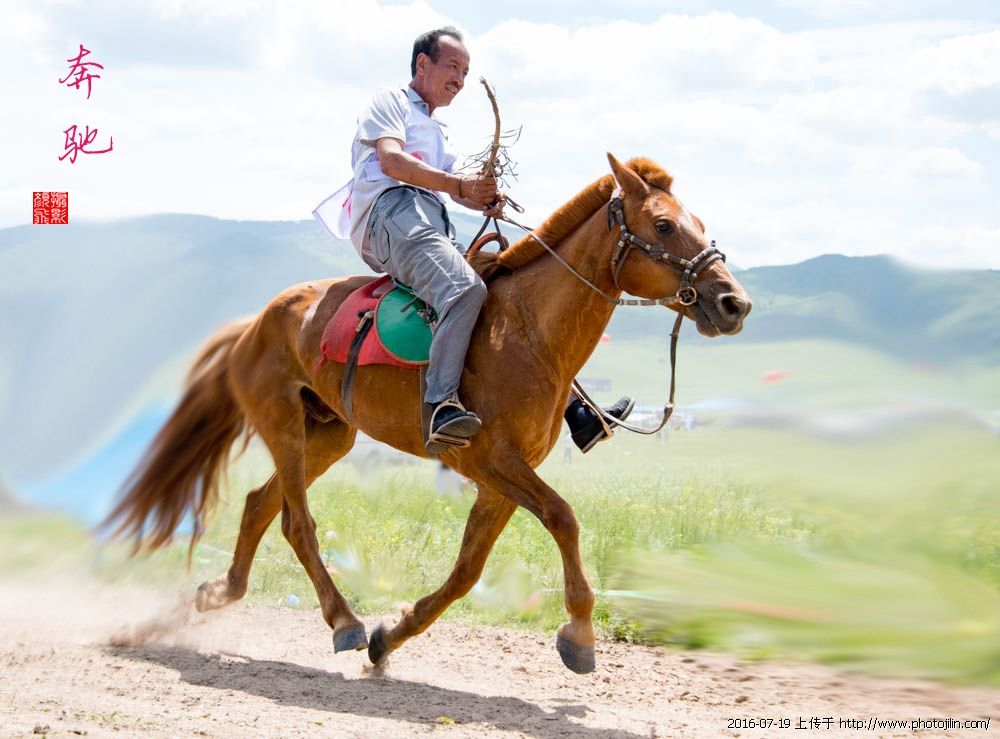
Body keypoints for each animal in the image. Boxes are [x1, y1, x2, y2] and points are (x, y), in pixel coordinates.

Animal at [104, 154, 752, 674]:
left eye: (699, 224)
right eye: (664, 225)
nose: (733, 303)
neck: (527, 332)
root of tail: (256, 321)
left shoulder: (499, 479)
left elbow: (467, 570)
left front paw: (391, 638)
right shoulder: (490, 460)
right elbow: (563, 518)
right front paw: (580, 636)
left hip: (329, 435)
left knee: (260, 505)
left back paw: (222, 593)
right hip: (284, 427)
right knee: (296, 522)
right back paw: (342, 621)